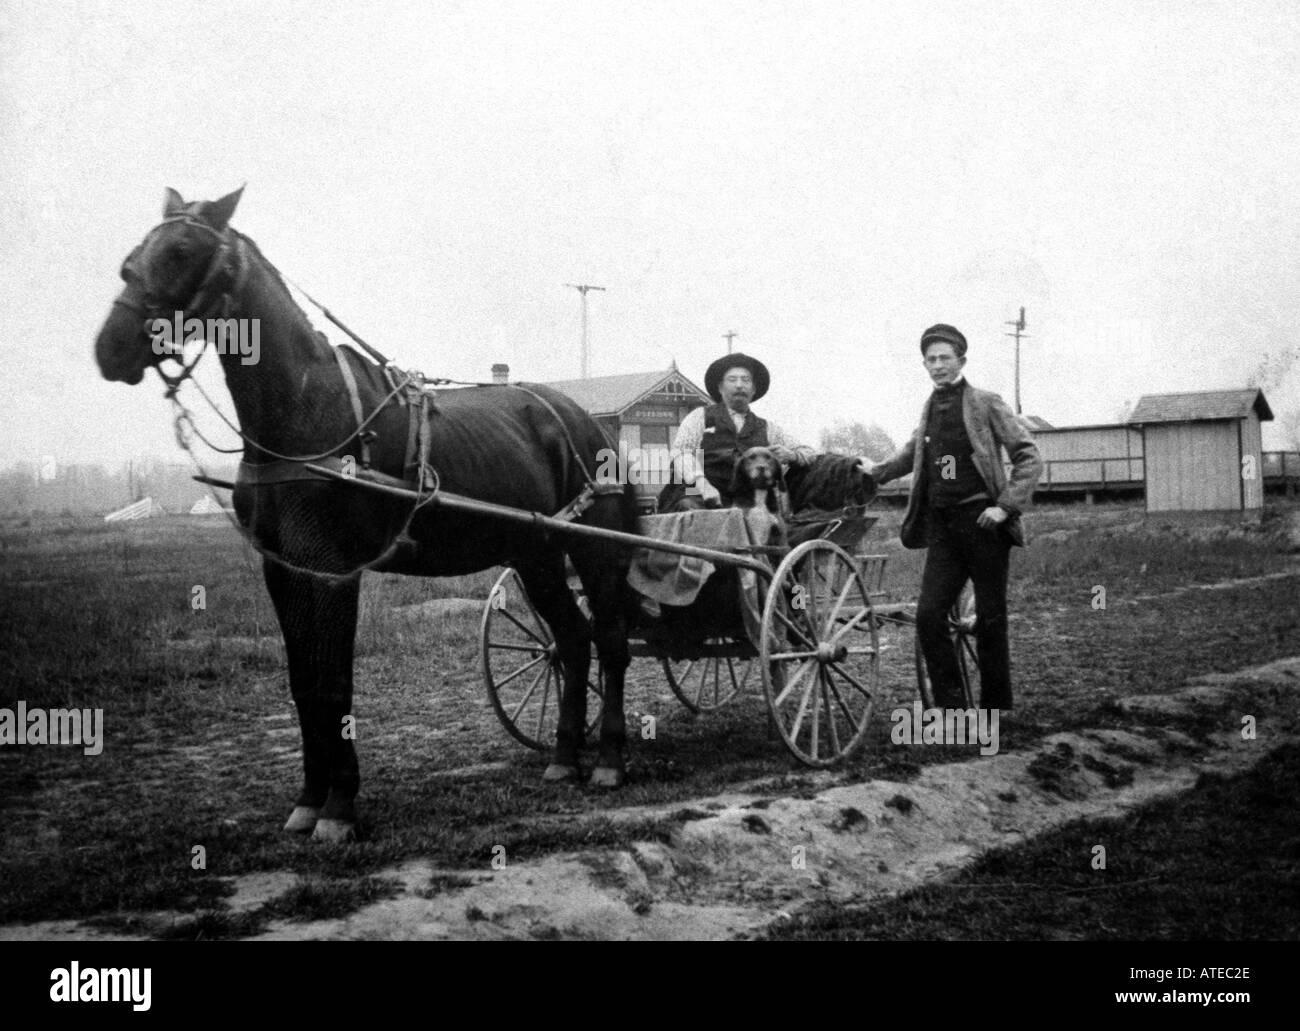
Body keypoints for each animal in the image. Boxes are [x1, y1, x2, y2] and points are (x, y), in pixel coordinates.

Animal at [92, 188, 639, 842]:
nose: (109, 348)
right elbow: (304, 684)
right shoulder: (283, 570)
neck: (304, 412)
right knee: (572, 639)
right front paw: (308, 800)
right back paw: (562, 757)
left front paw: (339, 806)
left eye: (180, 250)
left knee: (610, 641)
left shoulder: (332, 570)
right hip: (535, 554)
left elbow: (334, 683)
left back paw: (608, 761)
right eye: (134, 254)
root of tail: (582, 421)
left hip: (593, 550)